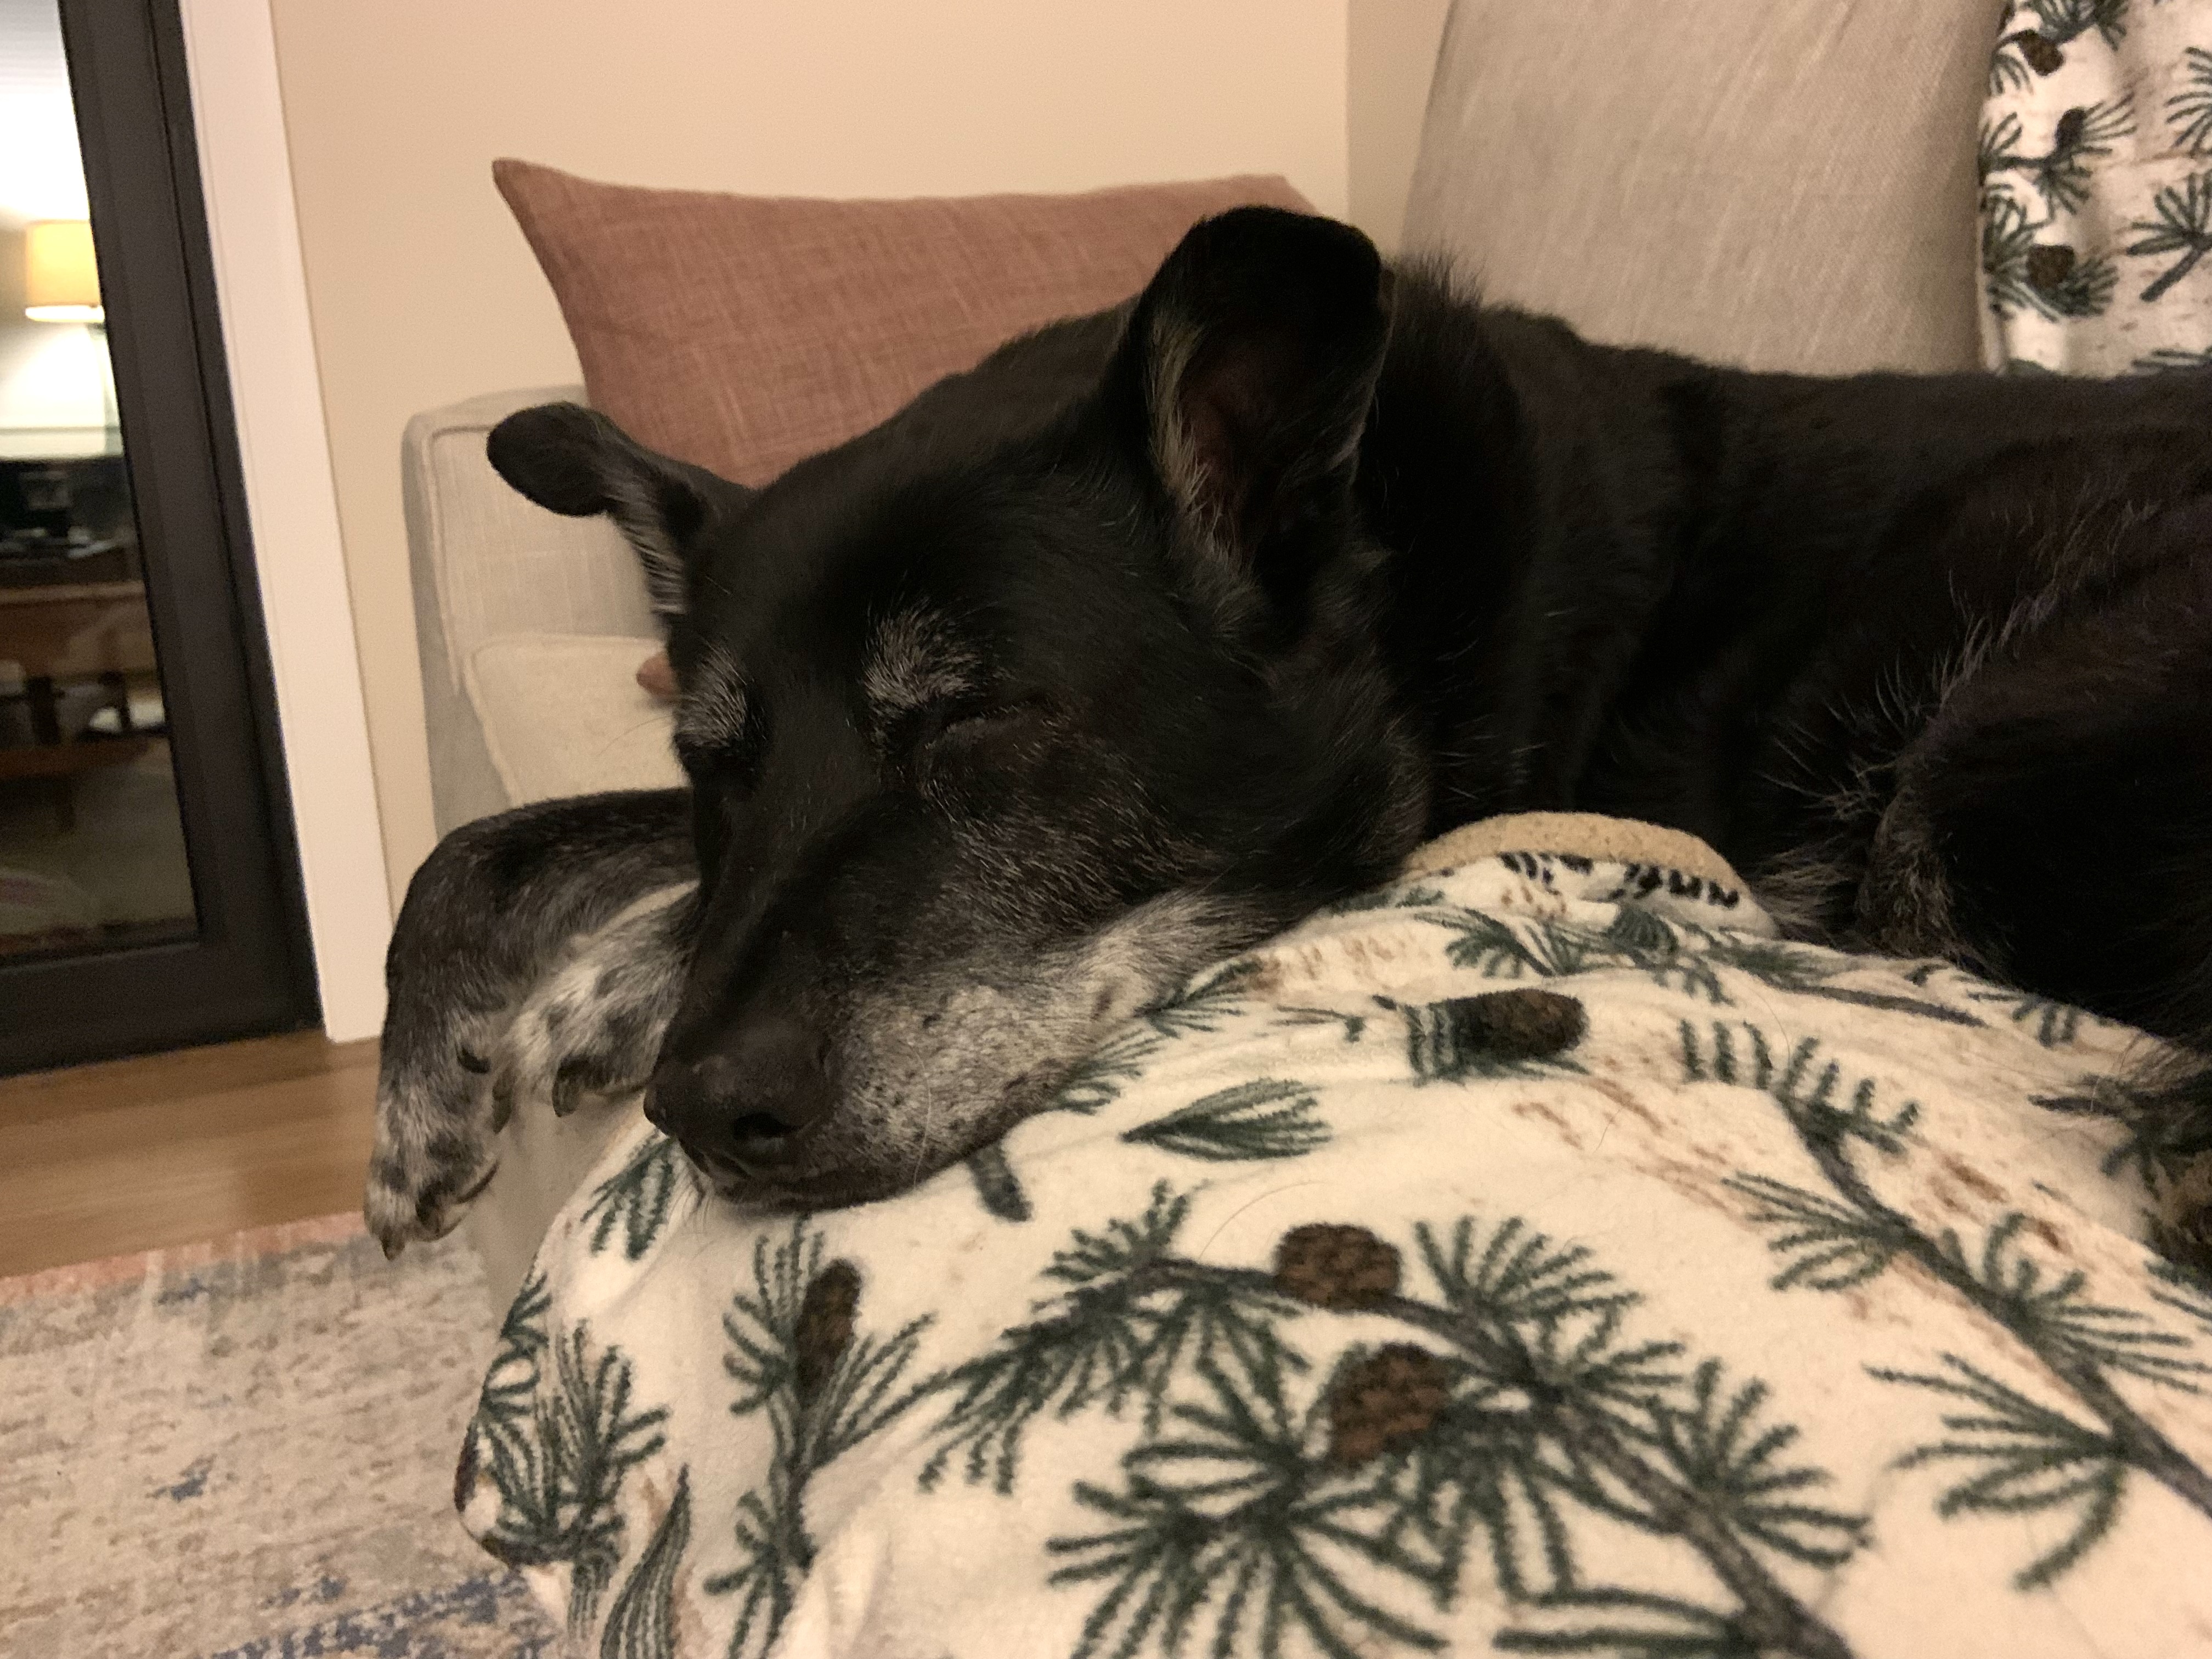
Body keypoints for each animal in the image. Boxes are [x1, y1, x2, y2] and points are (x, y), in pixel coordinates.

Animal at [363, 211, 2212, 1274]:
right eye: (714, 761)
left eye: (974, 718)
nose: (697, 1112)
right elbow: (485, 842)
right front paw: (438, 1084)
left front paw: (609, 983)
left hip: (1975, 767)